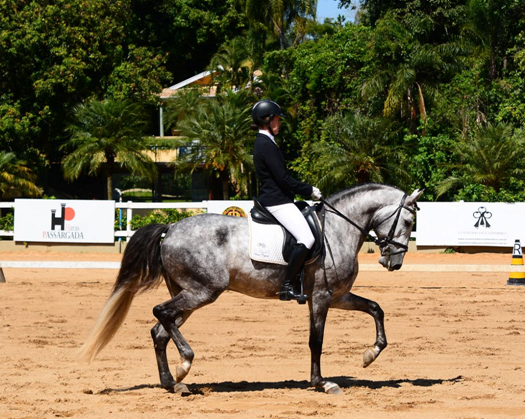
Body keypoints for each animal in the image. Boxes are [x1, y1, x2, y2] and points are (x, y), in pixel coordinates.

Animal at [79, 183, 422, 394]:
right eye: (407, 222)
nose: (394, 263)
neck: (339, 228)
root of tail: (171, 227)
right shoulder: (322, 298)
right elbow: (316, 341)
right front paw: (321, 382)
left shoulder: (337, 296)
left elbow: (376, 308)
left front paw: (370, 355)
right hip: (202, 292)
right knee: (160, 313)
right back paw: (185, 363)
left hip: (188, 294)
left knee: (160, 330)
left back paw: (172, 382)